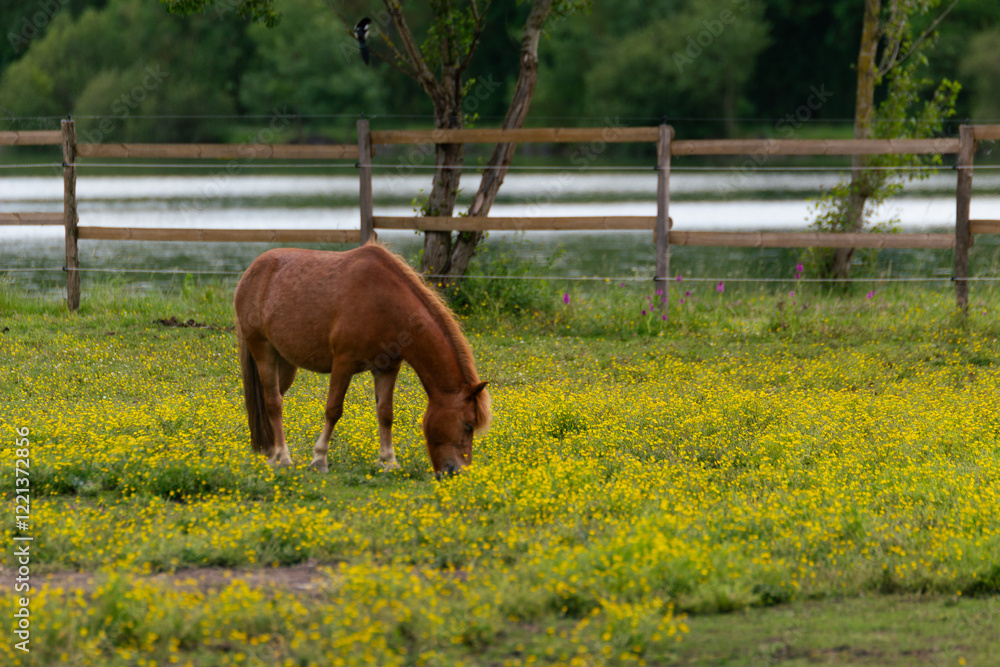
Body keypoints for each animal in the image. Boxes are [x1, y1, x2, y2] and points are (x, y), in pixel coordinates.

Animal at [234, 244, 491, 478]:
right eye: (468, 425)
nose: (456, 471)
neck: (383, 301)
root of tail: (252, 271)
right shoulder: (343, 364)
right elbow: (333, 410)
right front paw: (319, 459)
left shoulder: (387, 368)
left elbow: (385, 413)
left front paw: (388, 461)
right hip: (263, 351)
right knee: (273, 403)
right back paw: (283, 457)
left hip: (286, 363)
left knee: (273, 400)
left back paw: (272, 454)